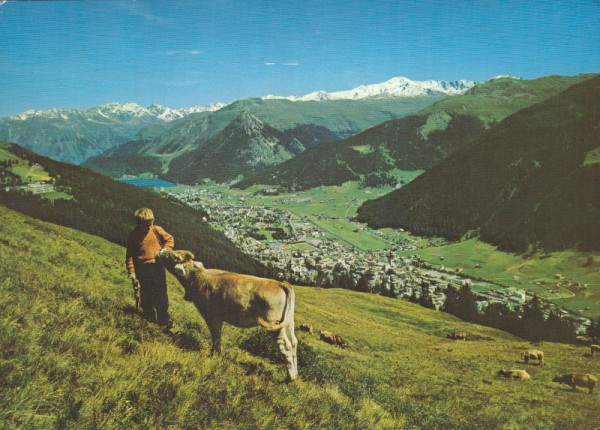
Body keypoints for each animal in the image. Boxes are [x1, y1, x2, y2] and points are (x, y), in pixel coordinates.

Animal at [157, 247, 298, 382]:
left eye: (175, 256)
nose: (161, 250)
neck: (198, 278)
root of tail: (280, 283)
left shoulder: (212, 316)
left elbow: (216, 337)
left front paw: (214, 355)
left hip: (274, 325)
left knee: (286, 346)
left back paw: (289, 377)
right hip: (288, 322)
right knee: (294, 342)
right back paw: (295, 375)